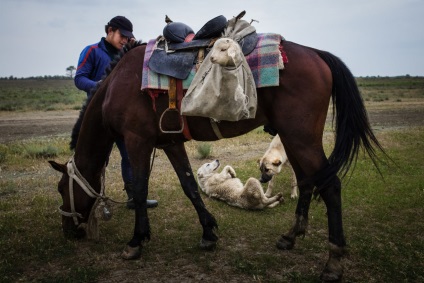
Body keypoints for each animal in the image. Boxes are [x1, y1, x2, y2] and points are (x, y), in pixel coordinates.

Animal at [48, 37, 384, 282]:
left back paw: (333, 262)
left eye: (62, 188)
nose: (68, 231)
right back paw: (290, 237)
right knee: (306, 181)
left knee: (331, 186)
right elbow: (189, 186)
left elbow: (140, 190)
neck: (115, 87)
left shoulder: (137, 141)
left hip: (301, 138)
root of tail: (317, 54)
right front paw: (208, 232)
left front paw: (135, 242)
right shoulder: (170, 142)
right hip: (294, 138)